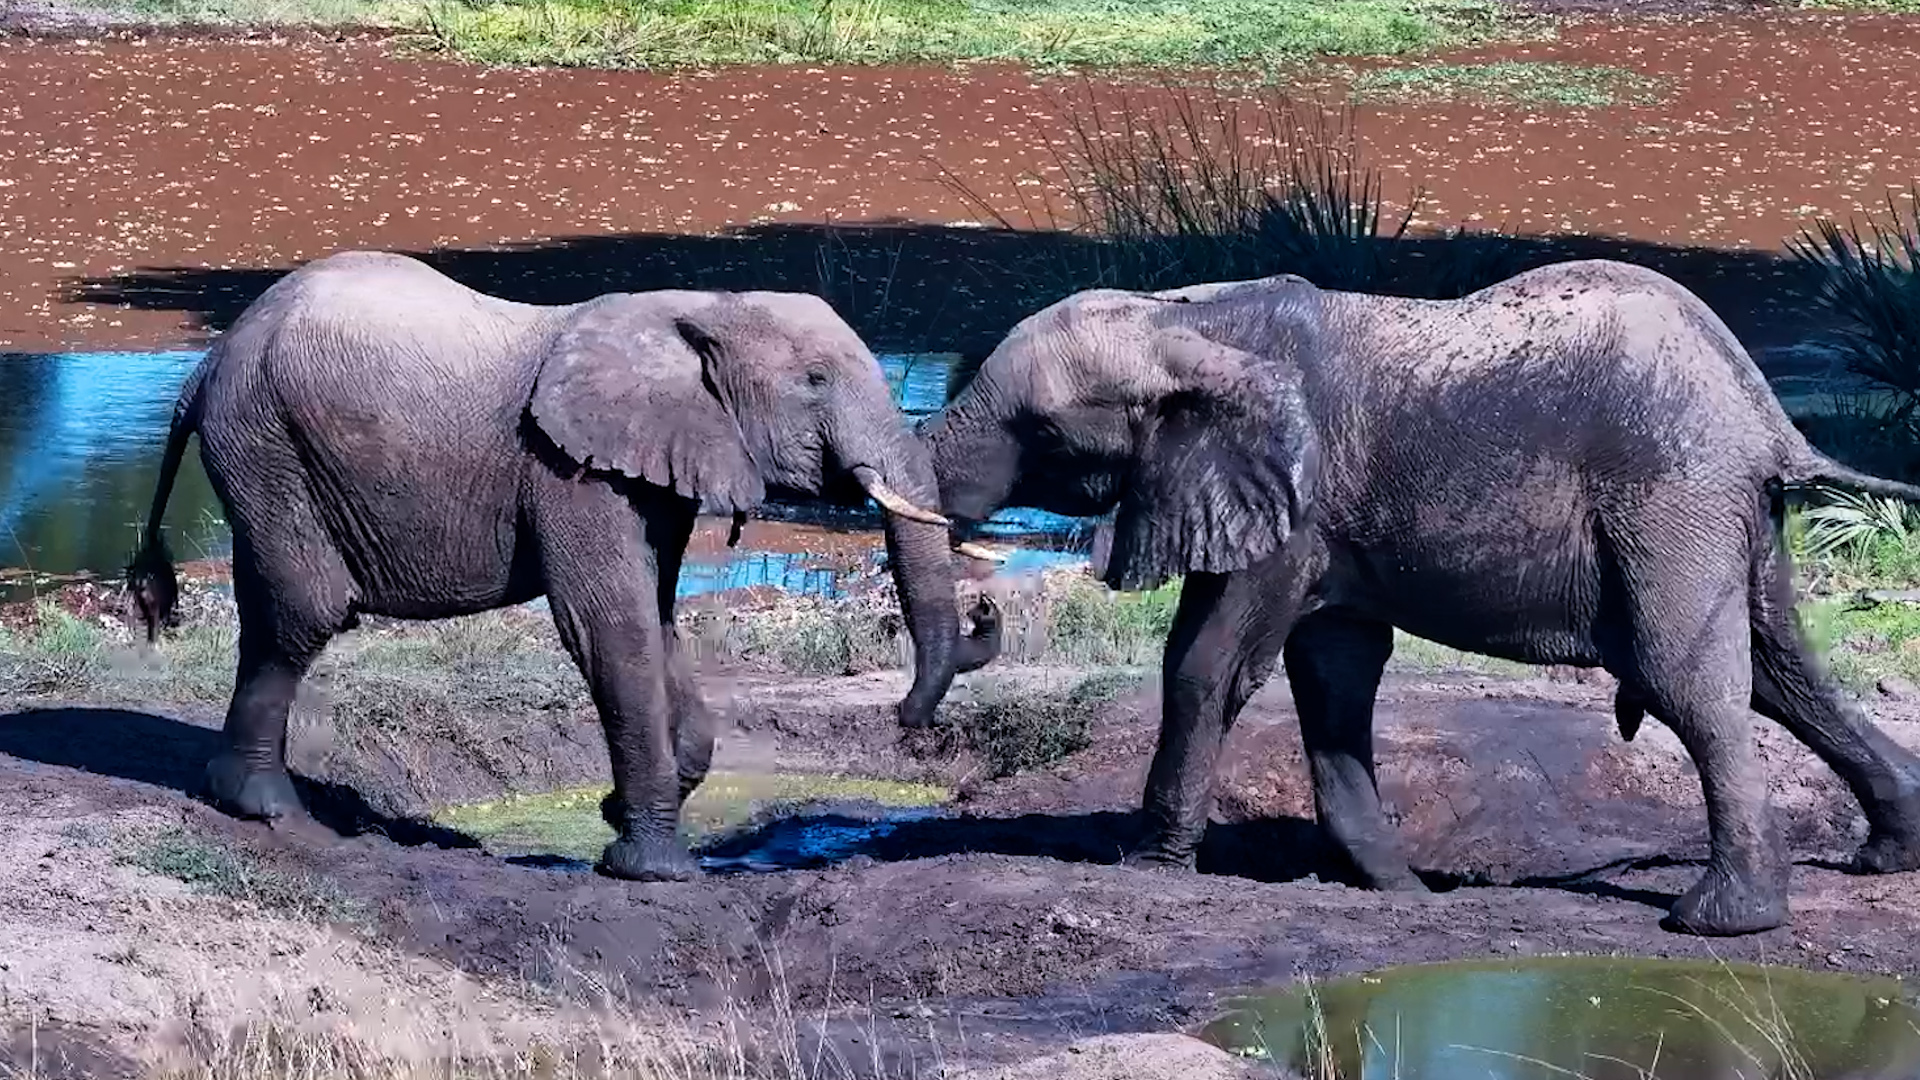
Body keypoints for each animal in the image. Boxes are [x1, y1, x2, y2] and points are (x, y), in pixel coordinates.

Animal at [129, 249, 1000, 882]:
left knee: (273, 609)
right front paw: (655, 871)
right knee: (304, 611)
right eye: (814, 382)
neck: (695, 309)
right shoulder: (570, 471)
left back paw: (240, 796)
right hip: (265, 440)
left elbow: (657, 616)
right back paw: (272, 812)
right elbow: (608, 626)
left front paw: (625, 812)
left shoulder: (653, 466)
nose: (986, 614)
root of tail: (205, 366)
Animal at [917, 258, 1920, 936]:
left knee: (1690, 680)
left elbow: (1209, 660)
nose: (985, 613)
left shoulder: (1294, 494)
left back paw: (1718, 919)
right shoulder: (1323, 518)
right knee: (1783, 667)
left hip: (1670, 494)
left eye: (1038, 431)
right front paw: (1398, 889)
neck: (1185, 317)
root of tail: (1766, 414)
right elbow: (1335, 671)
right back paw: (1887, 854)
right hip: (1720, 509)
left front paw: (1149, 865)